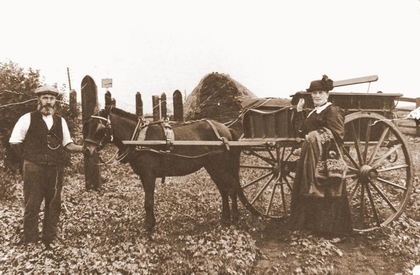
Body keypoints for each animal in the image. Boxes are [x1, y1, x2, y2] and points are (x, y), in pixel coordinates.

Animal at [83, 108, 240, 233]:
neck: (139, 138)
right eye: (86, 126)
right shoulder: (144, 176)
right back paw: (225, 218)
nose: (87, 150)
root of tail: (226, 130)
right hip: (212, 167)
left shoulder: (148, 175)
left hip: (220, 166)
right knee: (224, 190)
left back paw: (235, 219)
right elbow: (148, 200)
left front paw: (149, 226)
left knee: (232, 189)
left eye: (100, 129)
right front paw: (151, 223)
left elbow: (148, 202)